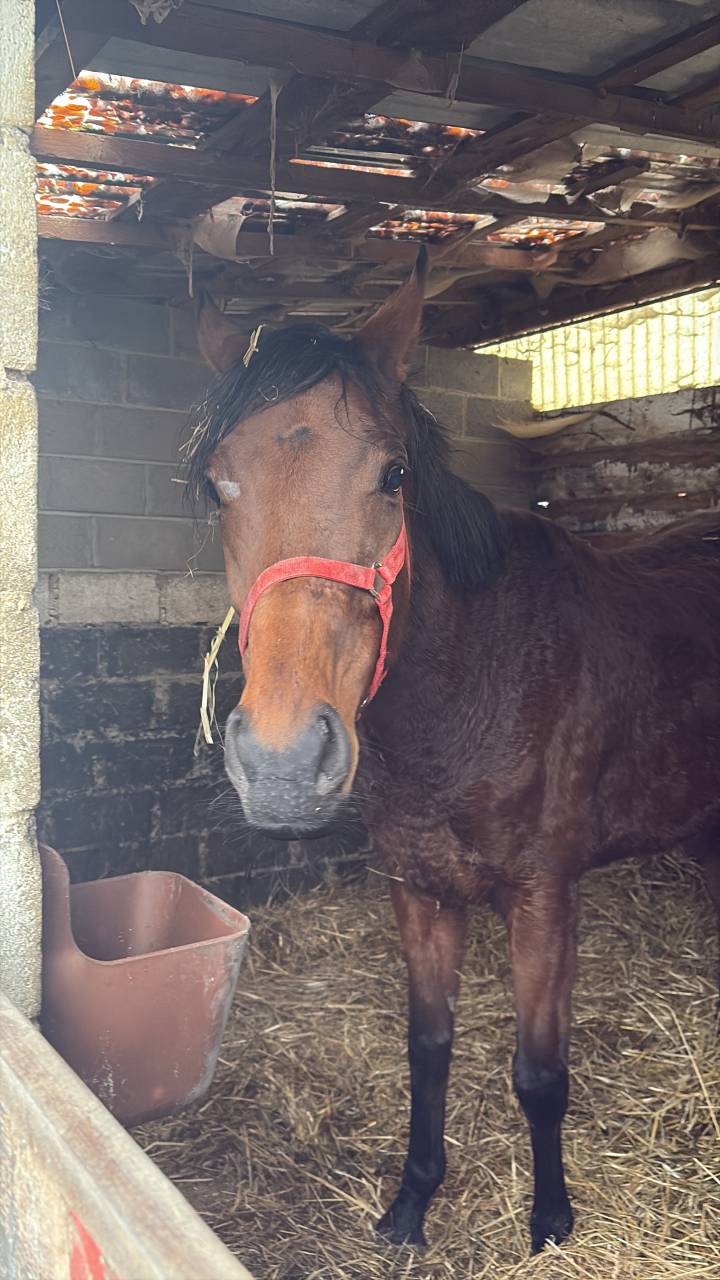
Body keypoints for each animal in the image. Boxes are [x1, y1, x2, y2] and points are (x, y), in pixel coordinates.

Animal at [187, 249, 720, 1254]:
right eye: (215, 485)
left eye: (392, 473)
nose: (282, 765)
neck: (475, 682)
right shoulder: (420, 890)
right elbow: (427, 1049)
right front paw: (410, 1205)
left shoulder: (545, 899)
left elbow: (539, 1074)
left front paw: (550, 1221)